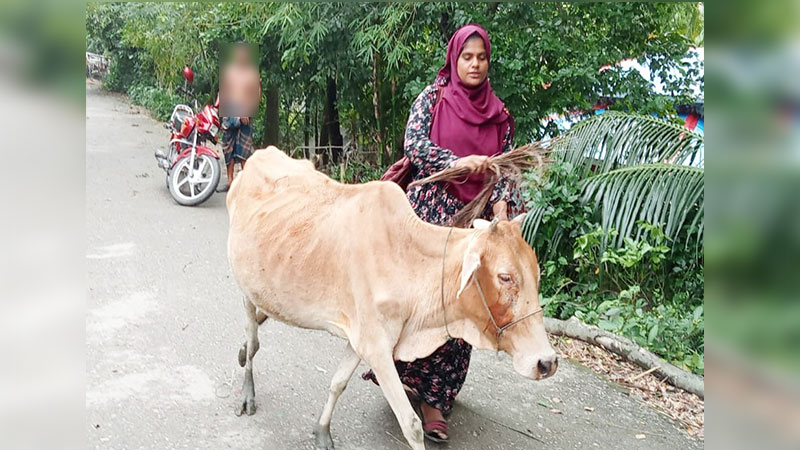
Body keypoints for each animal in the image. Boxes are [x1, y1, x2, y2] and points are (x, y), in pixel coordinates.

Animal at [225, 146, 556, 448]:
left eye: (536, 274)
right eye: (505, 277)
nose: (547, 362)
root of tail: (260, 154)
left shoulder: (360, 340)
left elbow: (337, 383)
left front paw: (322, 432)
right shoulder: (377, 347)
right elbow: (410, 425)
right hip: (245, 286)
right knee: (253, 340)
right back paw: (247, 390)